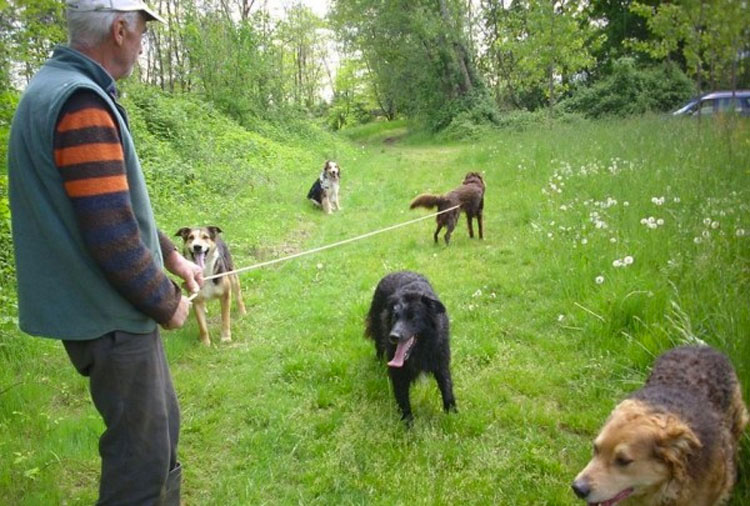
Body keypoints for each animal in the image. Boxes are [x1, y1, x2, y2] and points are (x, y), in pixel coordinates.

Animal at [364, 270, 458, 422]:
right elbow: (403, 399)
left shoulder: (441, 359)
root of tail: (395, 271)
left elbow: (446, 386)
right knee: (379, 346)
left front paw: (453, 414)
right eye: (395, 316)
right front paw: (408, 423)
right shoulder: (398, 371)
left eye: (413, 317)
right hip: (378, 325)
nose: (393, 337)